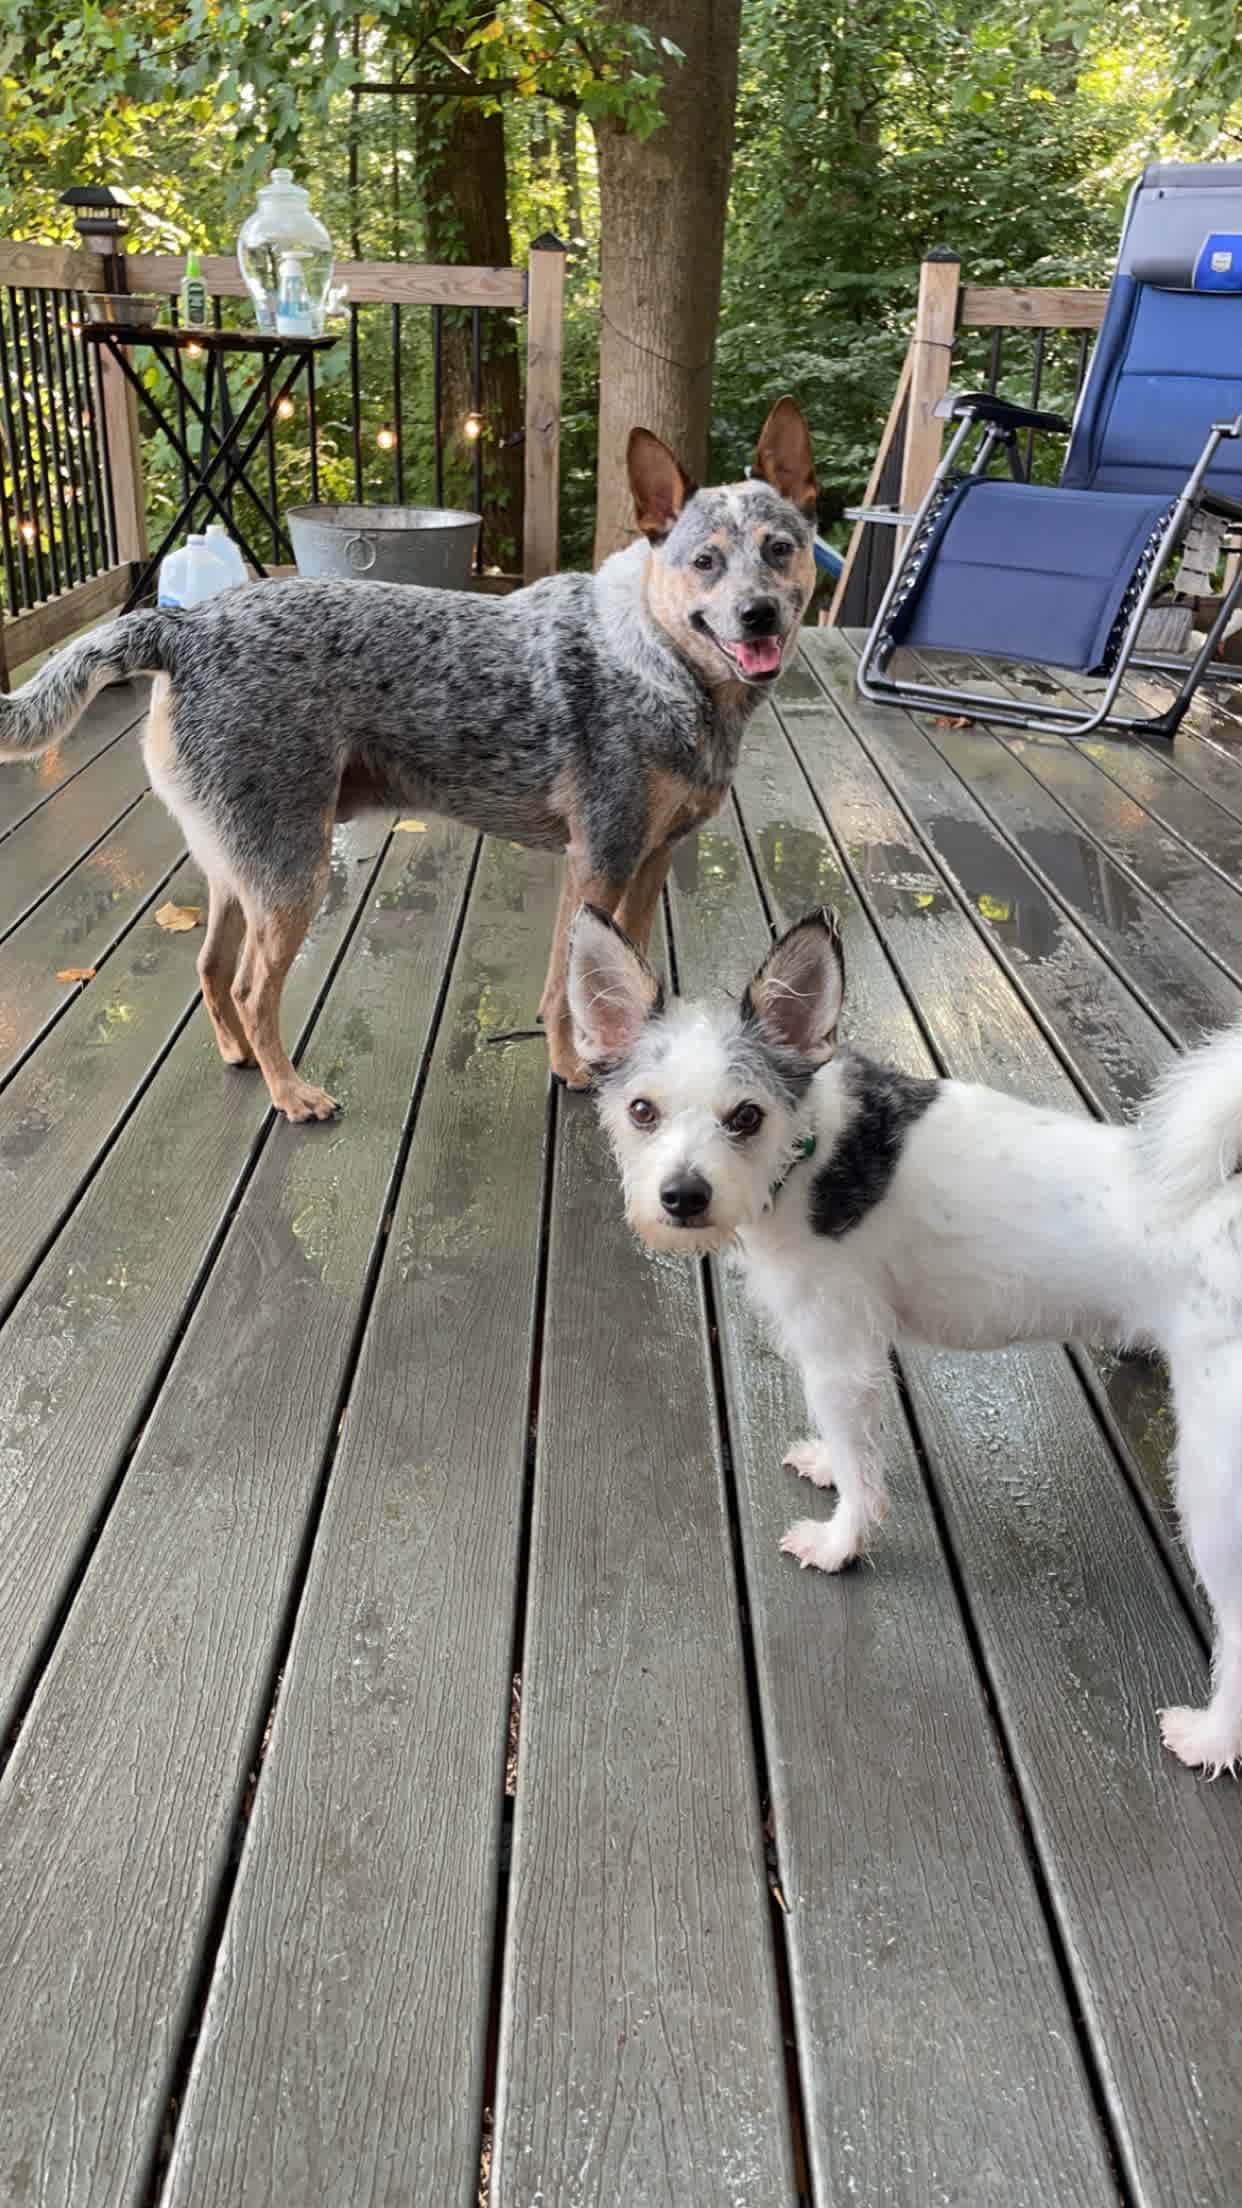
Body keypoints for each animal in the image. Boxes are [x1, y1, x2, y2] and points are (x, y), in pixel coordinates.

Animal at [0, 399, 813, 1121]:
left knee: (211, 967)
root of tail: (185, 626)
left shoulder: (649, 861)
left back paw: (240, 1058)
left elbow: (626, 976)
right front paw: (572, 1066)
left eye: (780, 548)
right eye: (704, 561)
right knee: (252, 990)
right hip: (293, 872)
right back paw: (291, 1094)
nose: (759, 614)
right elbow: (564, 988)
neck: (658, 660)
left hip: (238, 865)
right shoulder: (599, 860)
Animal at [565, 896, 1237, 1775]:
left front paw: (839, 1542)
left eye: (745, 1115)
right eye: (641, 1110)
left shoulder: (839, 1357)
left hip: (1215, 1487)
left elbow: (861, 1475)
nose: (682, 1196)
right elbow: (847, 1450)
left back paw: (1210, 1737)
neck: (809, 1153)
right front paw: (822, 1462)